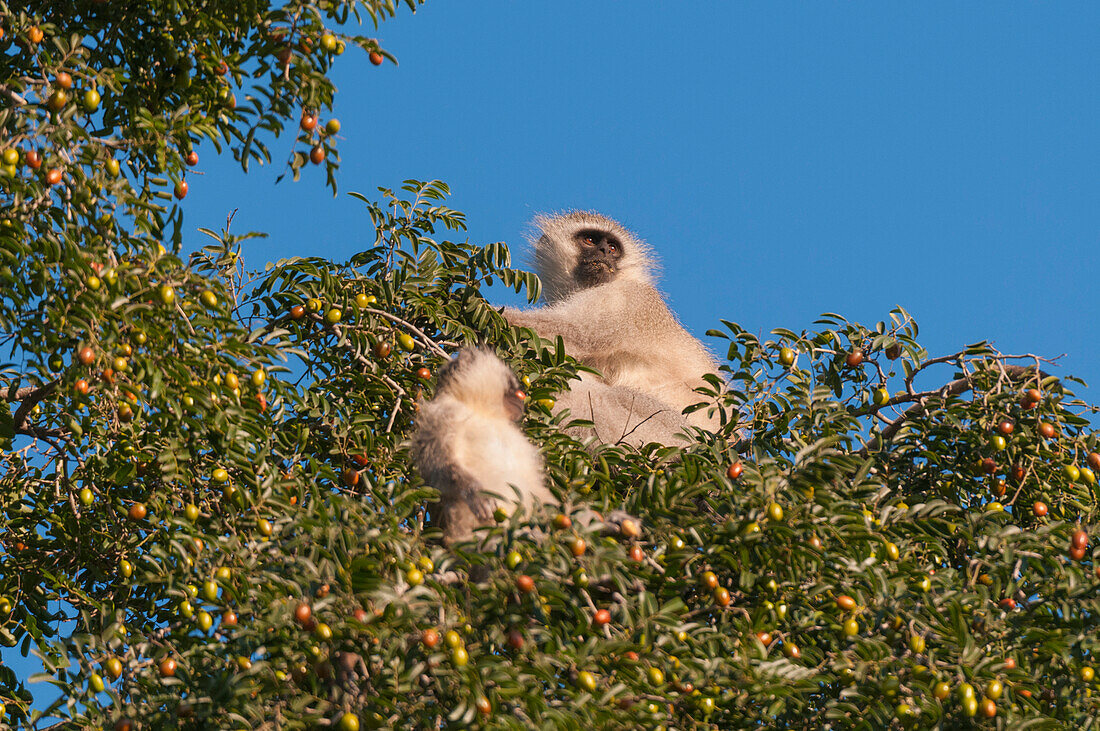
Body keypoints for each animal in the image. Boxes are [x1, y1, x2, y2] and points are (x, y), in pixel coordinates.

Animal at [411, 347, 554, 540]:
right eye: (513, 386)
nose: (522, 396)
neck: (480, 409)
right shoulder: (442, 415)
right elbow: (439, 466)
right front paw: (477, 494)